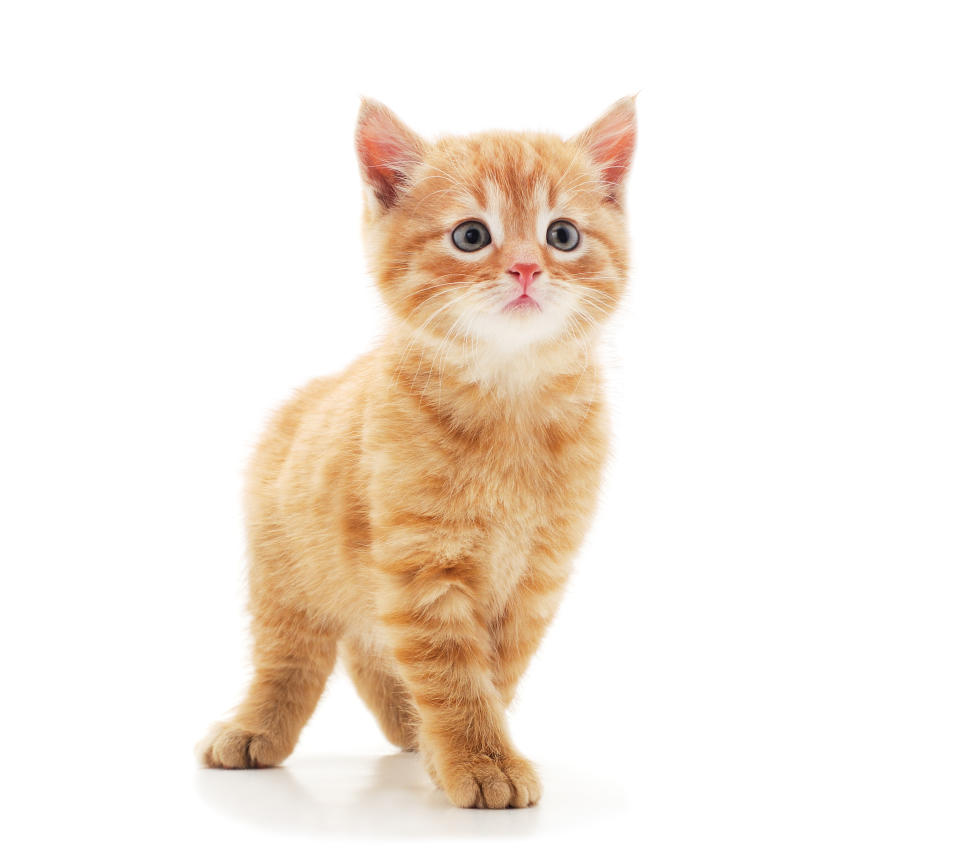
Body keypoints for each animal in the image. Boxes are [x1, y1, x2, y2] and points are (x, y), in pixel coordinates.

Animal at [199, 97, 632, 812]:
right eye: (471, 236)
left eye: (563, 235)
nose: (525, 268)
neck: (510, 401)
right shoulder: (421, 565)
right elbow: (451, 674)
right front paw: (481, 759)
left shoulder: (536, 579)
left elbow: (492, 676)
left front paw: (452, 751)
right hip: (284, 573)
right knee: (293, 659)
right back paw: (254, 729)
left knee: (370, 648)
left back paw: (406, 727)